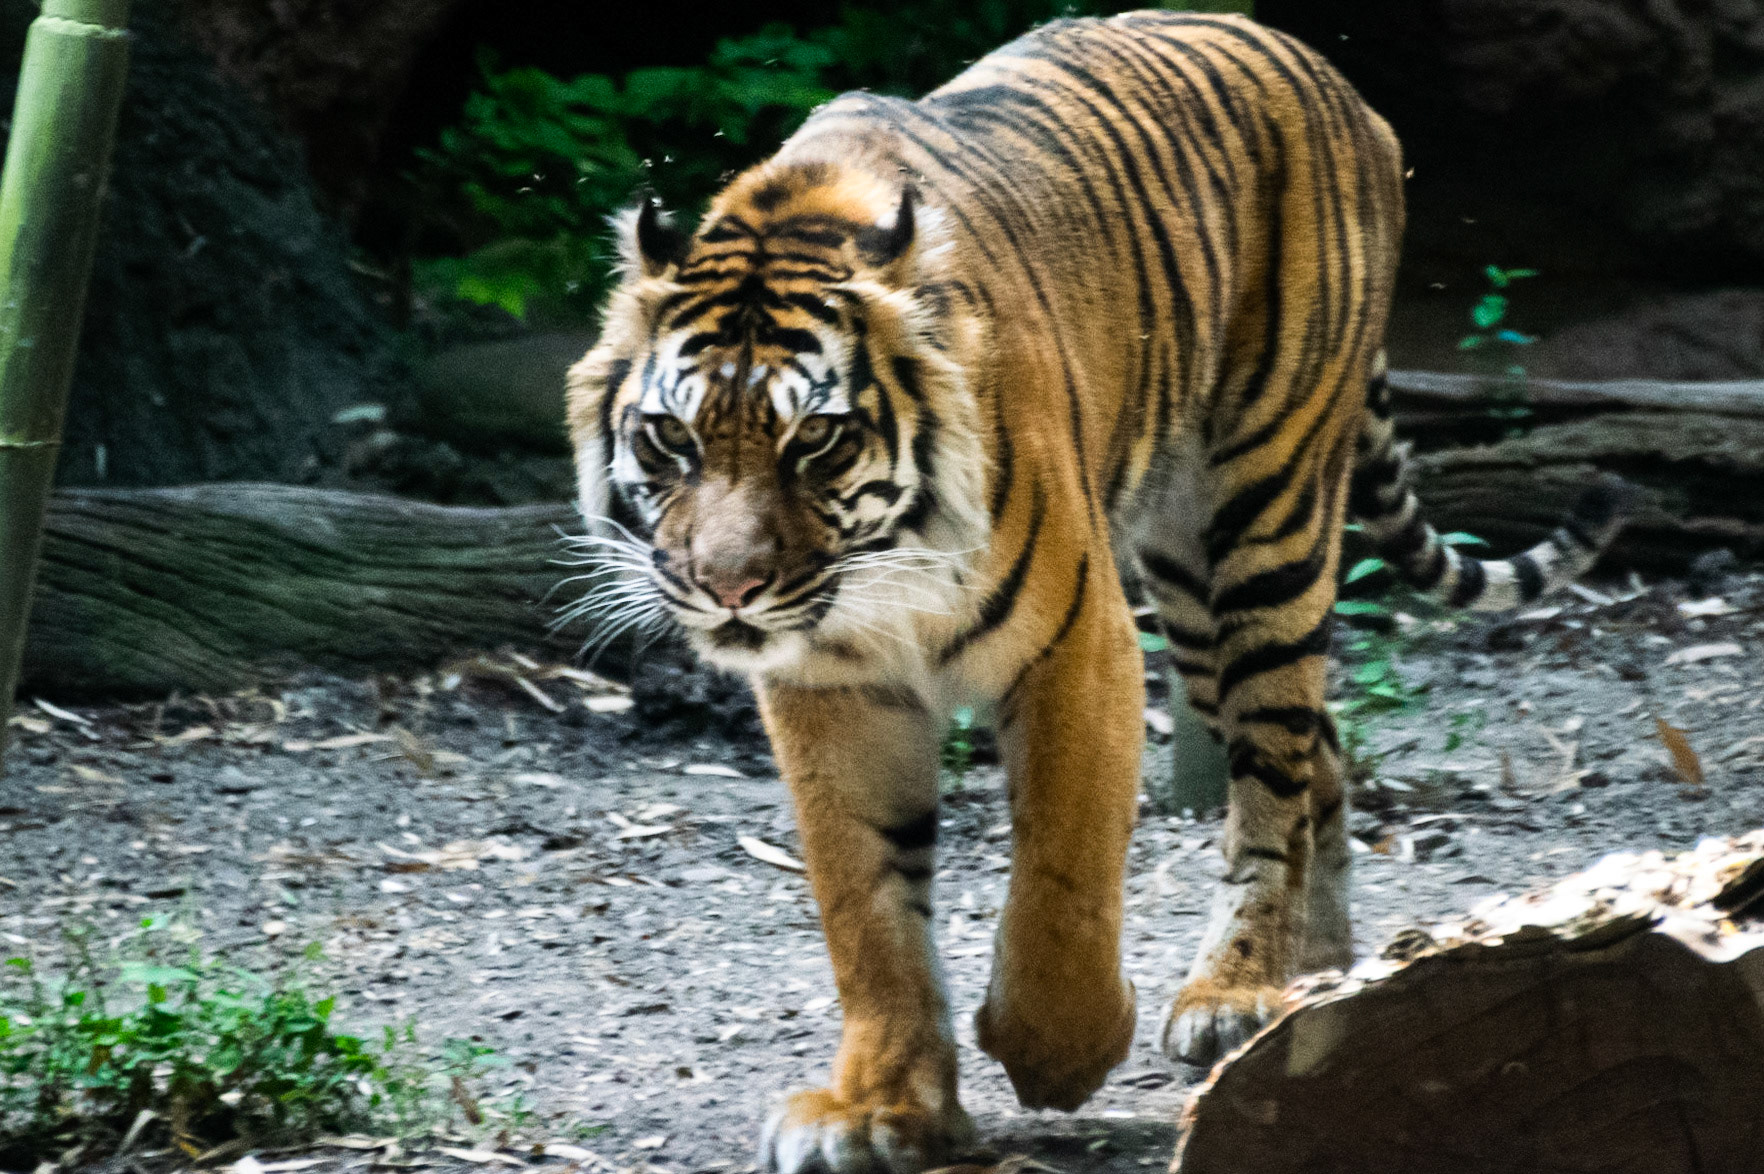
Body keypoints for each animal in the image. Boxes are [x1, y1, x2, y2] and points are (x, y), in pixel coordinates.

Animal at [564, 12, 1627, 1173]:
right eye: (672, 438)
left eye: (818, 438)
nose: (731, 588)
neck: (880, 573)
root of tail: (1305, 56)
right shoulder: (831, 686)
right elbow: (867, 905)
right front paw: (881, 1108)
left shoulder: (1075, 643)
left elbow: (1061, 878)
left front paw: (1055, 1054)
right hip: (1192, 589)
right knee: (1320, 751)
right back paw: (1322, 979)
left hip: (1266, 515)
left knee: (1272, 775)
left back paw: (1236, 995)